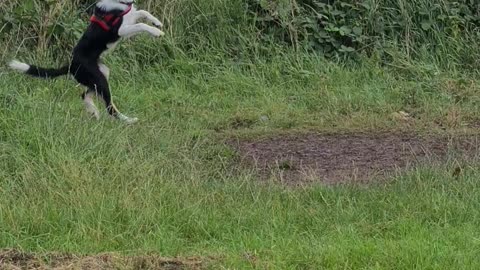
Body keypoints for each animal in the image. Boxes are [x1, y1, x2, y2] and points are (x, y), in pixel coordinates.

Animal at [7, 0, 163, 124]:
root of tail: (71, 65)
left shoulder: (131, 17)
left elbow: (143, 12)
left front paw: (157, 22)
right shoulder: (120, 29)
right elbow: (141, 24)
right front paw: (156, 32)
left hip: (101, 74)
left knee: (85, 95)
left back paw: (93, 111)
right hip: (99, 79)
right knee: (109, 107)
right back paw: (128, 120)